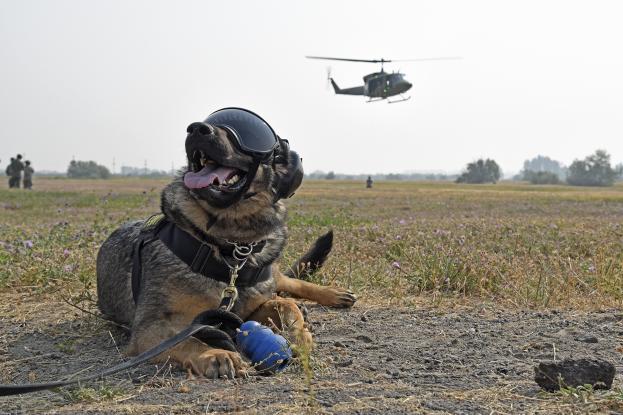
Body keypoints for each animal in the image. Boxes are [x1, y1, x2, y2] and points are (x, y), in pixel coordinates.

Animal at [96, 108, 356, 380]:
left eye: (250, 133)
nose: (197, 129)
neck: (230, 250)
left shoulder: (249, 308)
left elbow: (284, 305)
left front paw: (299, 333)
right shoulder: (150, 328)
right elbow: (186, 339)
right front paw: (214, 353)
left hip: (271, 276)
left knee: (287, 282)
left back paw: (333, 294)